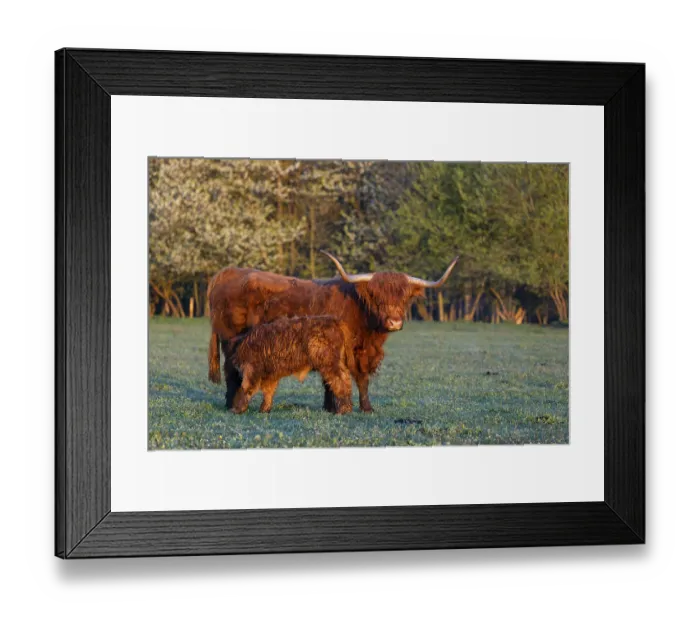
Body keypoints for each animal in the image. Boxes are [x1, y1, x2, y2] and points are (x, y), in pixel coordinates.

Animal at [208, 251, 459, 413]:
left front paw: (335, 407)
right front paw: (359, 408)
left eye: (405, 297)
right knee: (232, 371)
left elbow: (346, 379)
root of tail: (227, 272)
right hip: (231, 341)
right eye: (376, 296)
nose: (394, 322)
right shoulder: (351, 352)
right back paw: (231, 405)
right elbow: (354, 378)